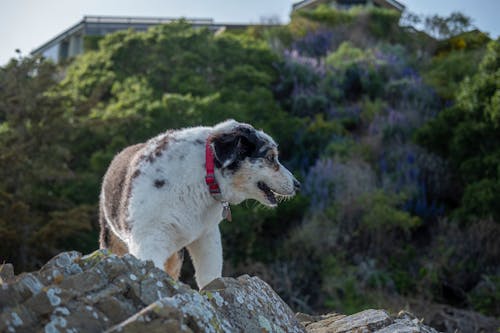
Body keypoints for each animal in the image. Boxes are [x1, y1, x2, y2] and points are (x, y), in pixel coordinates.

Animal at [99, 119, 298, 288]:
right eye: (271, 157)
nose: (297, 184)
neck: (201, 176)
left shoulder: (207, 235)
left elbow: (209, 275)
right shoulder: (147, 239)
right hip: (111, 239)